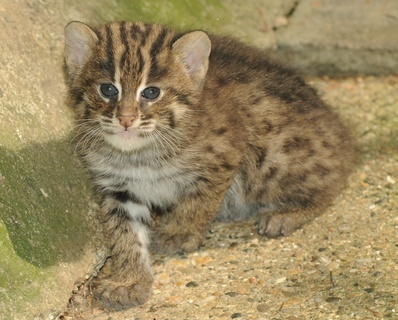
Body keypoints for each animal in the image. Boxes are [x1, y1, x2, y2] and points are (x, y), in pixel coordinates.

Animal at [63, 20, 356, 310]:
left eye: (151, 92)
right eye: (108, 89)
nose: (125, 119)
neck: (139, 154)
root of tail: (339, 131)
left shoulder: (225, 155)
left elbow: (199, 200)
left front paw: (180, 232)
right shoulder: (117, 187)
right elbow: (125, 234)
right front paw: (129, 280)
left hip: (271, 155)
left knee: (331, 179)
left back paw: (285, 213)